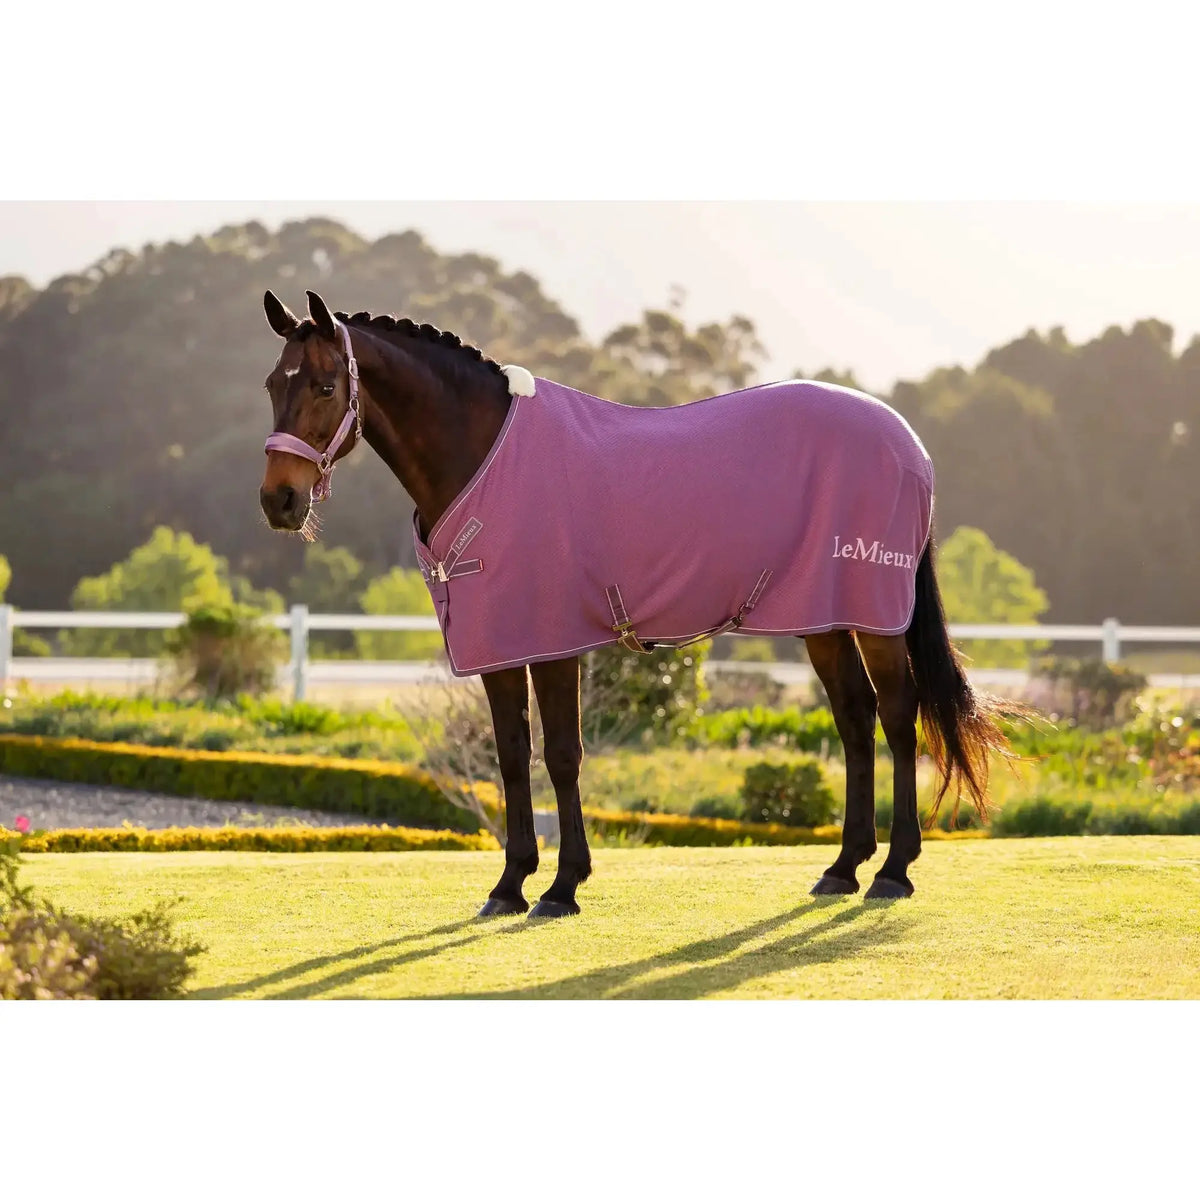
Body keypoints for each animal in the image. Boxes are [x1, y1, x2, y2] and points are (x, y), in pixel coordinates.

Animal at [258, 289, 1011, 918]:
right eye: (272, 384)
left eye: (325, 385)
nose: (279, 501)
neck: (484, 460)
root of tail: (909, 445)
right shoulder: (496, 642)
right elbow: (511, 755)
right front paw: (510, 884)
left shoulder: (550, 639)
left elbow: (562, 754)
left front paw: (562, 887)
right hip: (821, 619)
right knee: (855, 719)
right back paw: (843, 867)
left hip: (874, 616)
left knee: (899, 716)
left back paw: (893, 870)